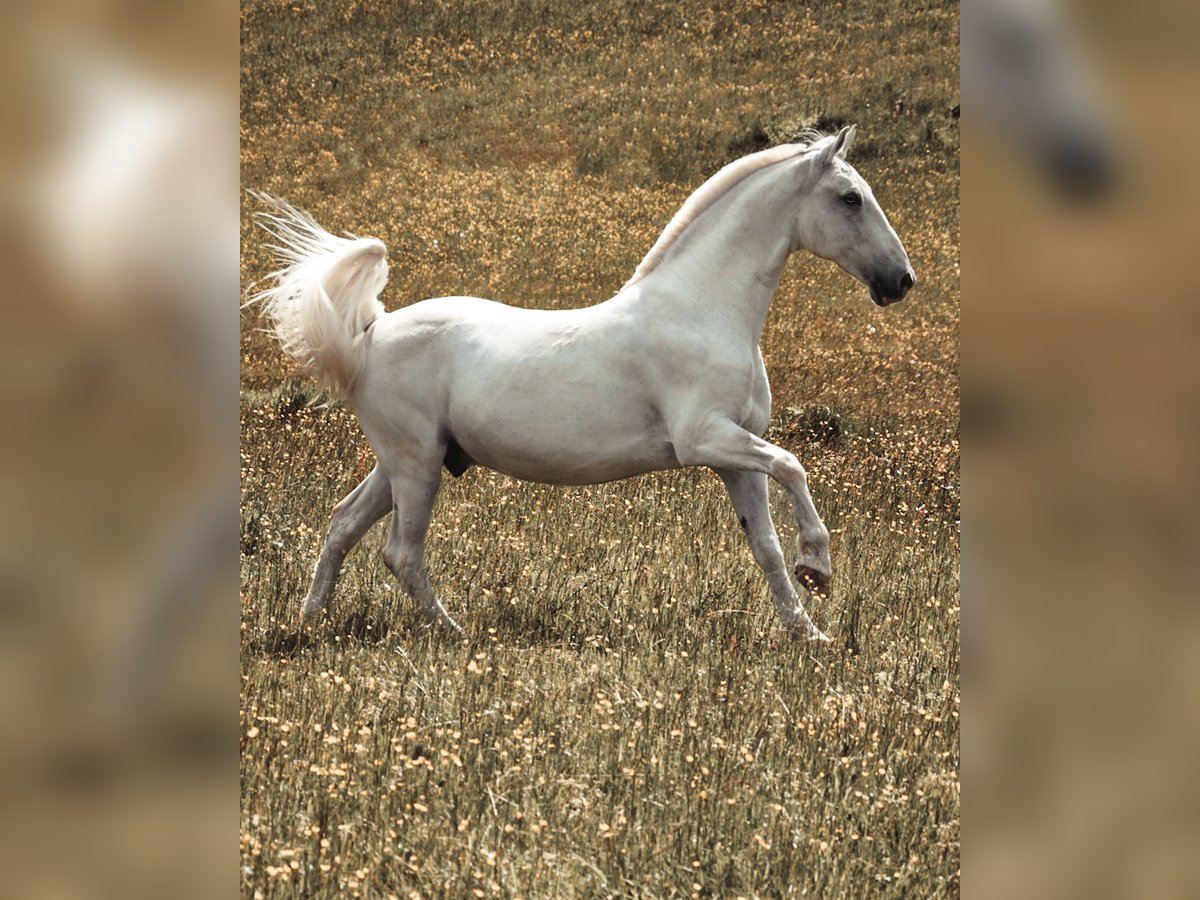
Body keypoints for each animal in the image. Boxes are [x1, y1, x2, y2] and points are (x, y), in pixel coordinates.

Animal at [250, 127, 907, 643]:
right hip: (416, 464)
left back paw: (308, 623)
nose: (901, 281)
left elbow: (766, 547)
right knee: (401, 553)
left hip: (406, 461)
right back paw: (456, 632)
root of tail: (370, 332)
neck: (703, 310)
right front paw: (819, 567)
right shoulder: (705, 439)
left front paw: (809, 632)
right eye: (850, 197)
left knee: (342, 524)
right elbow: (795, 465)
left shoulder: (736, 457)